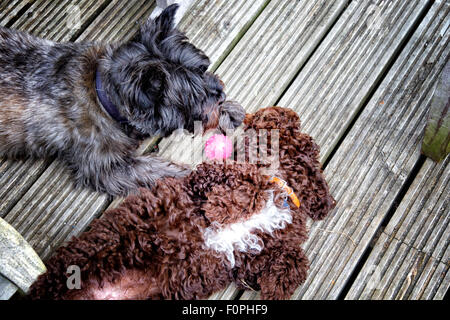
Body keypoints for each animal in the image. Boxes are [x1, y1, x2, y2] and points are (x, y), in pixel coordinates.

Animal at [0, 4, 246, 195]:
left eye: (202, 69)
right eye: (194, 96)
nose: (221, 93)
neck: (102, 96)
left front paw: (228, 111)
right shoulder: (106, 168)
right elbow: (158, 170)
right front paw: (203, 177)